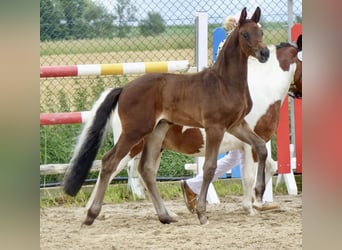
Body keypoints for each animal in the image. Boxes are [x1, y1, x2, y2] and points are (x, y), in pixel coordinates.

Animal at [62, 7, 268, 226]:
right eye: (245, 34)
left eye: (261, 32)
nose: (265, 53)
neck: (225, 82)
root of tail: (124, 88)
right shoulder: (215, 127)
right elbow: (209, 167)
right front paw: (202, 213)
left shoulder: (236, 124)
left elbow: (261, 147)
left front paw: (259, 194)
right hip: (135, 132)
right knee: (110, 162)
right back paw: (91, 215)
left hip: (156, 132)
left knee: (146, 169)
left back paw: (165, 215)